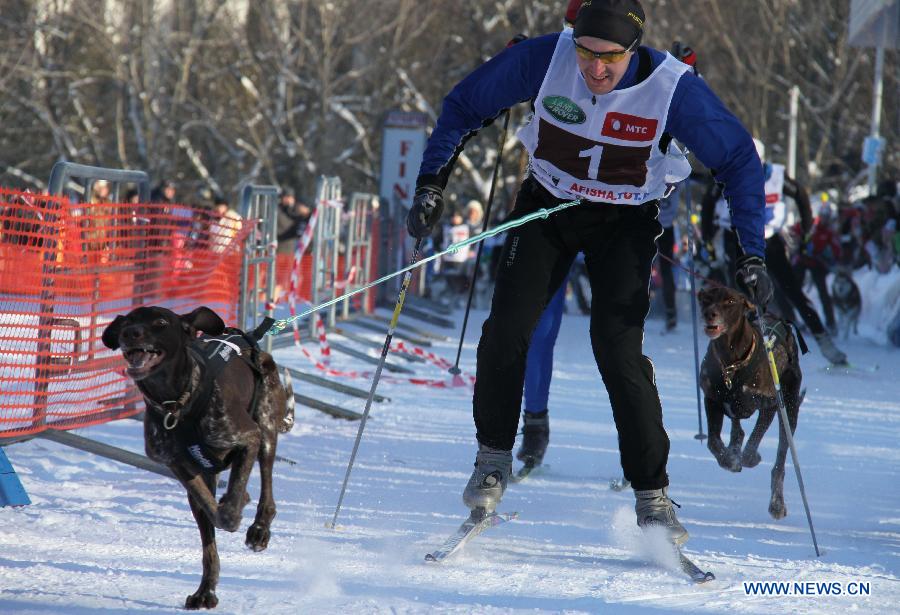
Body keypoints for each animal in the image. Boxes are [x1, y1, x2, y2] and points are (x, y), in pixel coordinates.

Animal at [102, 306, 294, 608]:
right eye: (128, 321)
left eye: (161, 322)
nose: (130, 333)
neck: (176, 404)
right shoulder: (180, 466)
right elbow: (209, 523)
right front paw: (206, 592)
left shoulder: (248, 437)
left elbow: (230, 504)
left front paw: (234, 513)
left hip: (266, 428)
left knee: (267, 487)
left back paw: (259, 528)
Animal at [696, 288, 800, 520]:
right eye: (706, 298)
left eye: (730, 301)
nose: (709, 314)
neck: (732, 364)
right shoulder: (712, 400)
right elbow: (713, 442)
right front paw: (729, 459)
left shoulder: (770, 405)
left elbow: (753, 445)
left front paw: (747, 457)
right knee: (738, 430)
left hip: (789, 410)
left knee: (780, 460)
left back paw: (777, 503)